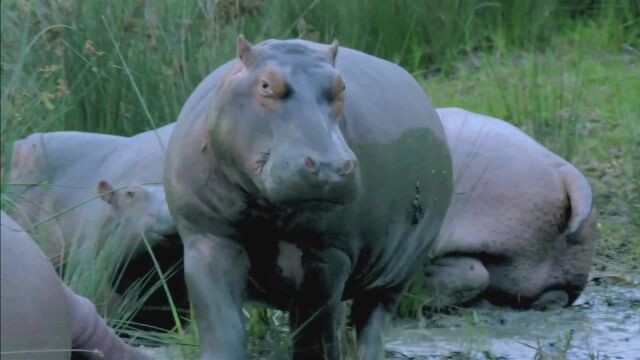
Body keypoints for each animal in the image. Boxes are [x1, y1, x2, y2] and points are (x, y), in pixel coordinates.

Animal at [165, 37, 456, 360]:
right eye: (265, 84)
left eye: (341, 86)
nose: (330, 166)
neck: (267, 210)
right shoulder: (207, 239)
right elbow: (222, 324)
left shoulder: (330, 253)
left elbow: (314, 329)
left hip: (398, 273)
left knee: (371, 322)